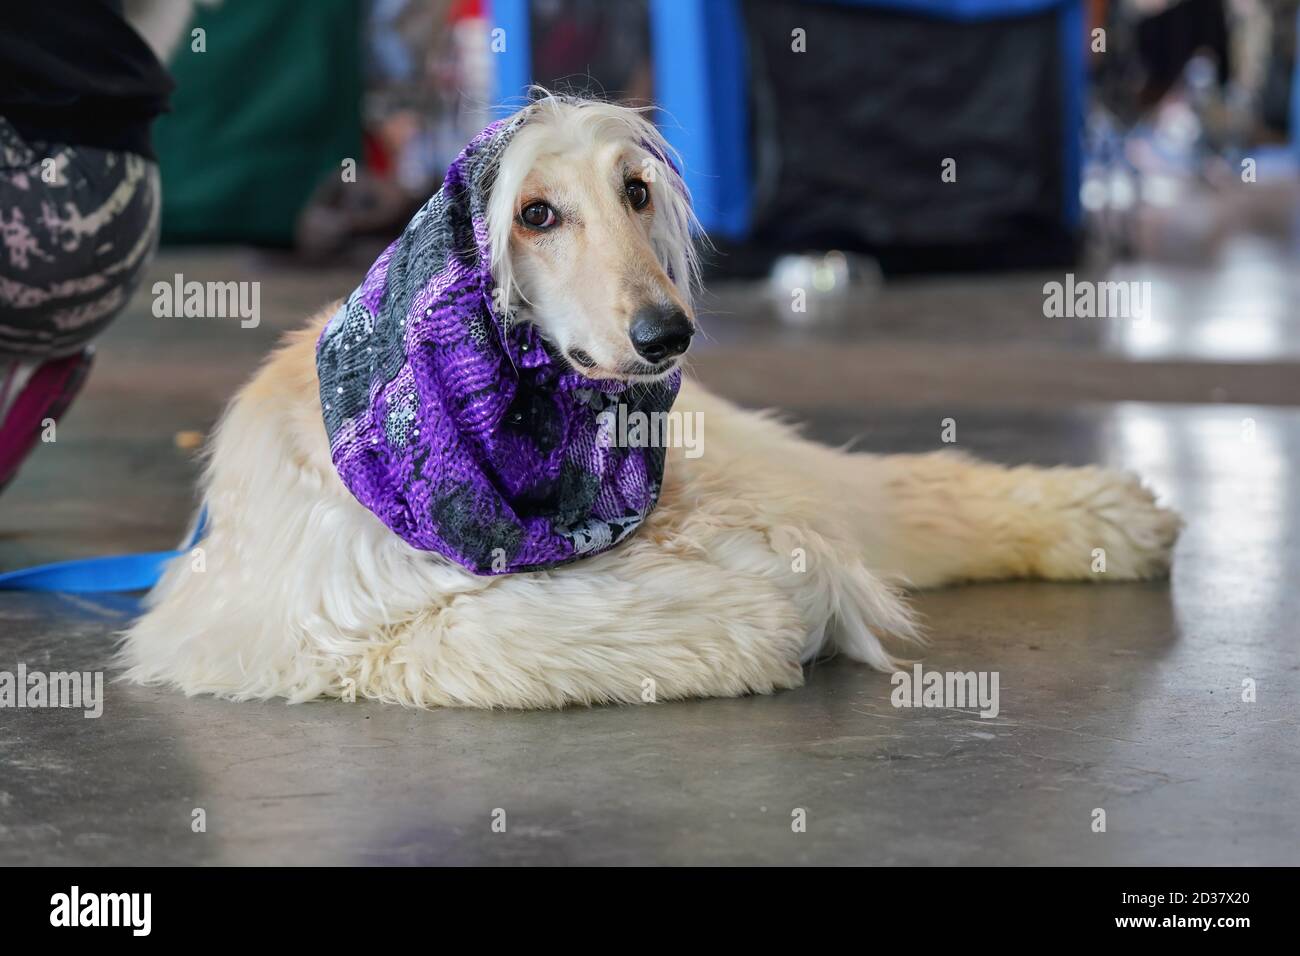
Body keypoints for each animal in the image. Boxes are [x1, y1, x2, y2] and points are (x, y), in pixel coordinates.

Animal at [119, 95, 1180, 712]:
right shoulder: (312, 618)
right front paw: (761, 615)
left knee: (898, 491)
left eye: (636, 191)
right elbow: (513, 625)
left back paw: (1109, 521)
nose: (667, 334)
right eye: (534, 213)